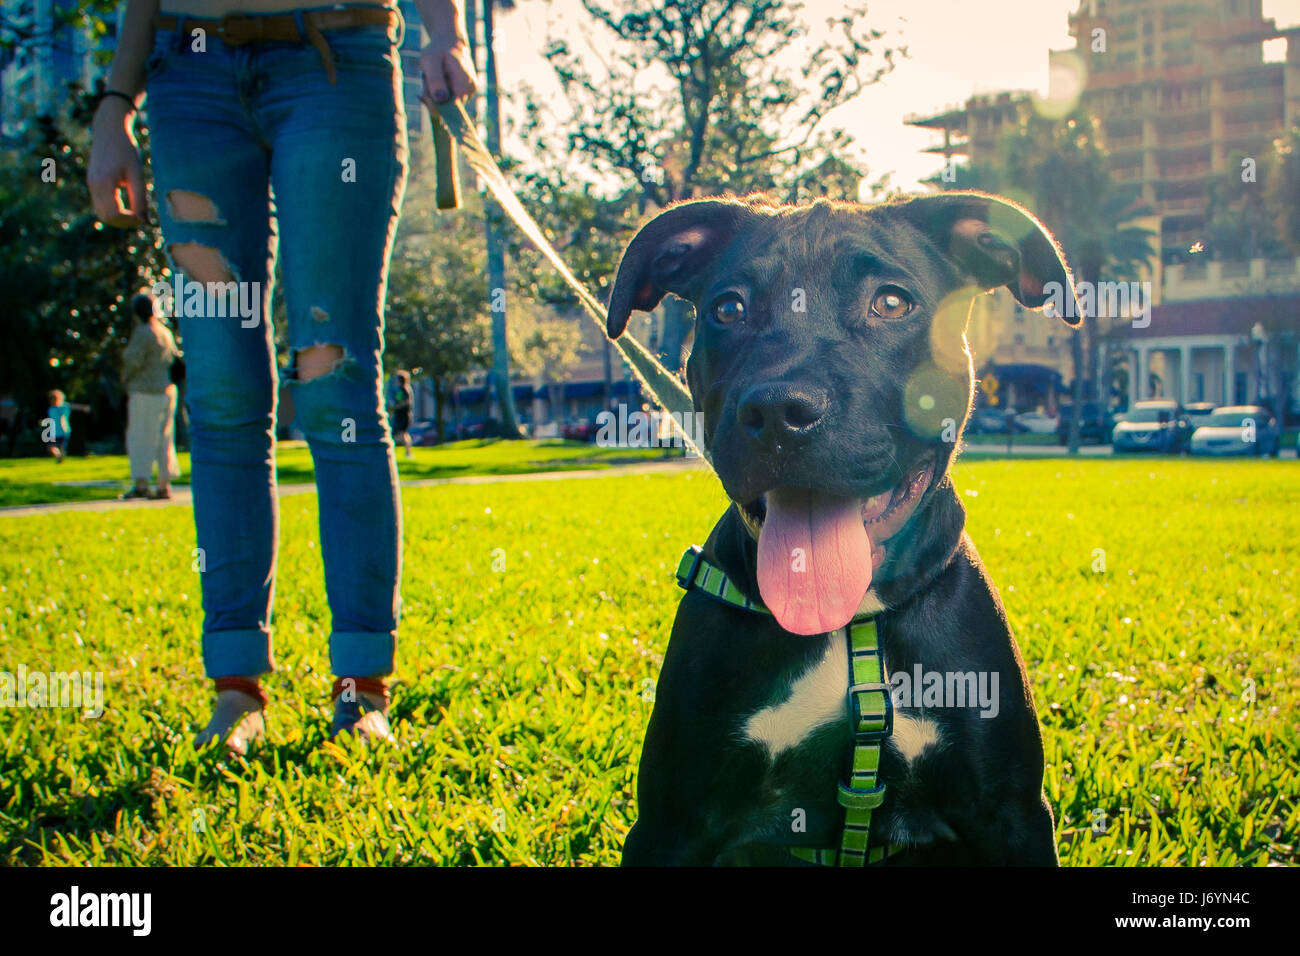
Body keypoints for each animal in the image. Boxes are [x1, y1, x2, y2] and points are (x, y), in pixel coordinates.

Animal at [608, 195, 1076, 868]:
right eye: (728, 309)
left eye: (891, 303)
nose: (779, 411)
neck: (850, 622)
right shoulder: (672, 823)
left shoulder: (1013, 817)